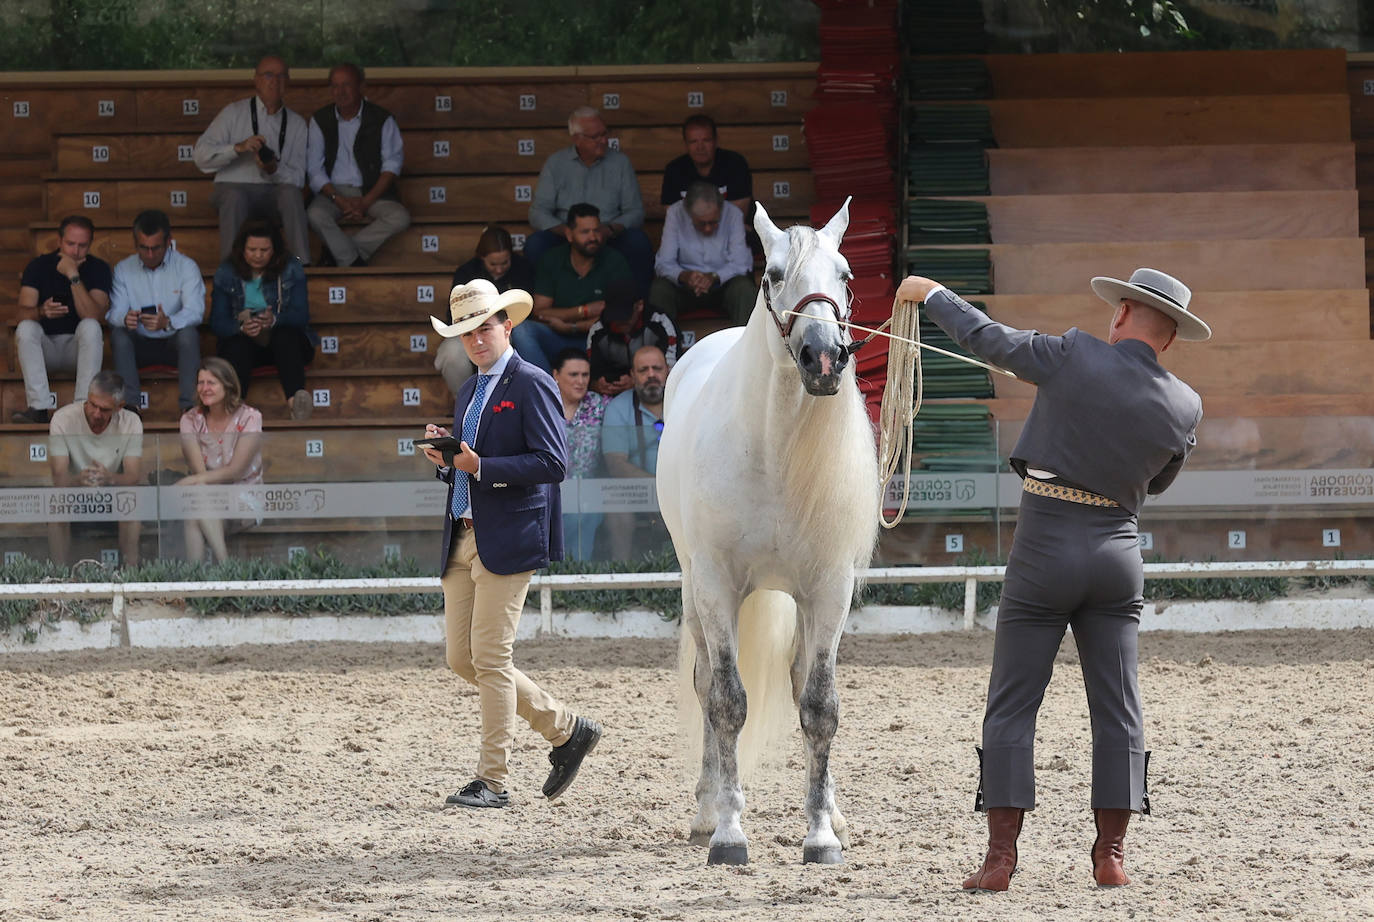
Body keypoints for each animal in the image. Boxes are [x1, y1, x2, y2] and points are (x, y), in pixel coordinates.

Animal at [656, 201, 879, 868]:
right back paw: (706, 813)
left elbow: (820, 706)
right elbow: (727, 703)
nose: (824, 357)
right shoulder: (717, 586)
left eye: (846, 275)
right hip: (695, 593)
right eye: (776, 274)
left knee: (801, 682)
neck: (772, 450)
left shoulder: (829, 590)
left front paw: (822, 835)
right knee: (706, 685)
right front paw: (729, 833)